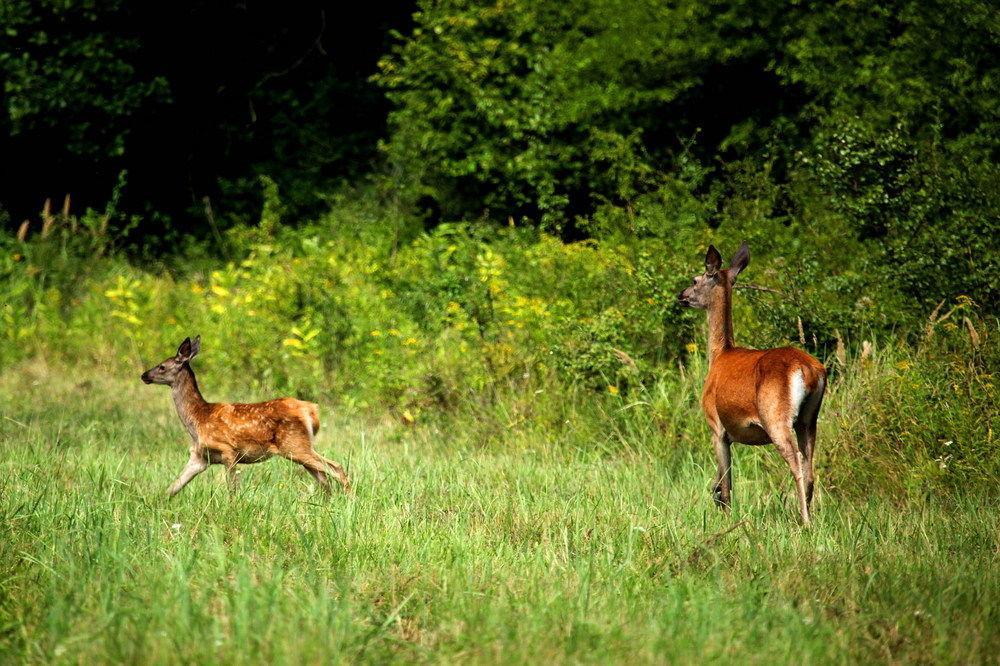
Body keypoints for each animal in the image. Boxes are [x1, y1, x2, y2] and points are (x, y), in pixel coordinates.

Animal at [140, 334, 352, 496]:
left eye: (162, 366)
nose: (144, 375)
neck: (197, 419)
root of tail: (311, 410)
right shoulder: (200, 458)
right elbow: (172, 488)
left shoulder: (228, 450)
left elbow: (232, 489)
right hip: (299, 447)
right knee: (324, 478)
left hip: (294, 444)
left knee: (336, 469)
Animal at [680, 244, 828, 524]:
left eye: (695, 280)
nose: (681, 295)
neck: (719, 354)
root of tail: (807, 369)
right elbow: (718, 481)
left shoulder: (717, 426)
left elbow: (727, 483)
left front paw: (727, 517)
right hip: (809, 419)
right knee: (810, 468)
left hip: (776, 416)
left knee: (797, 464)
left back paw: (804, 522)